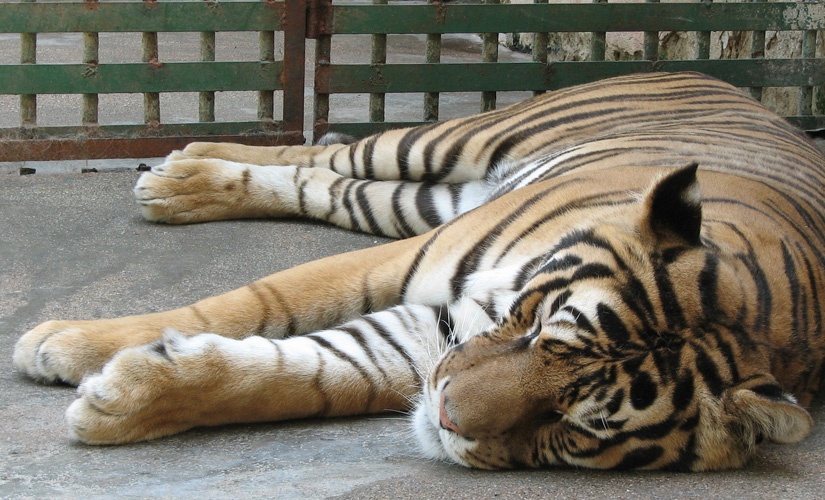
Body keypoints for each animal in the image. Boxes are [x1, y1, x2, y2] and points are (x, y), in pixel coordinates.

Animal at [11, 71, 824, 472]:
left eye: (572, 425)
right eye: (538, 332)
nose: (446, 417)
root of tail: (720, 79)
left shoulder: (440, 333)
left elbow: (311, 373)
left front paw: (125, 399)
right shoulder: (422, 267)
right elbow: (258, 301)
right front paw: (64, 343)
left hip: (414, 198)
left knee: (328, 183)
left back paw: (186, 180)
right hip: (447, 142)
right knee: (322, 153)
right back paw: (181, 170)